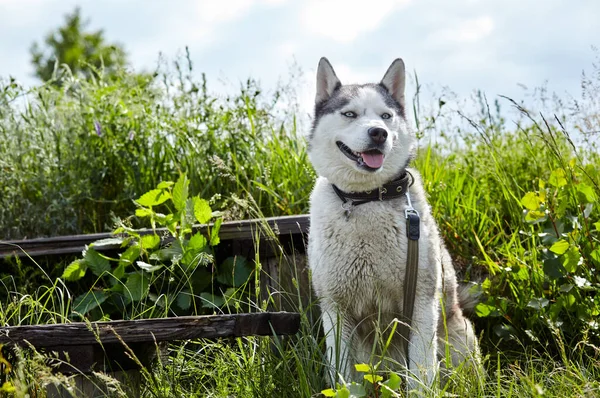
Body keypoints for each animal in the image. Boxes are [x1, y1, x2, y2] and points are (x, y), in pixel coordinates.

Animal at [308, 57, 480, 390]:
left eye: (386, 116)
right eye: (350, 114)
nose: (379, 133)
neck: (365, 199)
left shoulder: (420, 304)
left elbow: (422, 376)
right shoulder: (335, 309)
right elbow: (344, 377)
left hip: (457, 337)